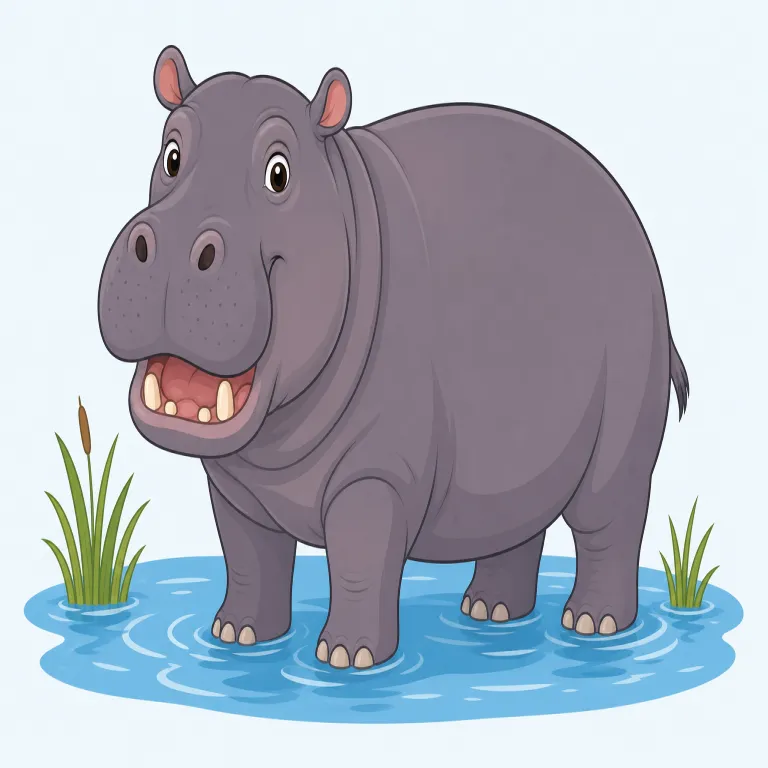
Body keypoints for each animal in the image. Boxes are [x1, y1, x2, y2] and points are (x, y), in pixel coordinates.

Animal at [98, 45, 690, 669]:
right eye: (171, 154)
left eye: (278, 172)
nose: (166, 244)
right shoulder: (232, 489)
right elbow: (248, 557)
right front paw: (237, 634)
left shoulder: (377, 471)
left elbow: (361, 558)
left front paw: (346, 657)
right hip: (523, 444)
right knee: (518, 517)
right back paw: (489, 611)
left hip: (621, 429)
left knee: (609, 521)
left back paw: (592, 624)